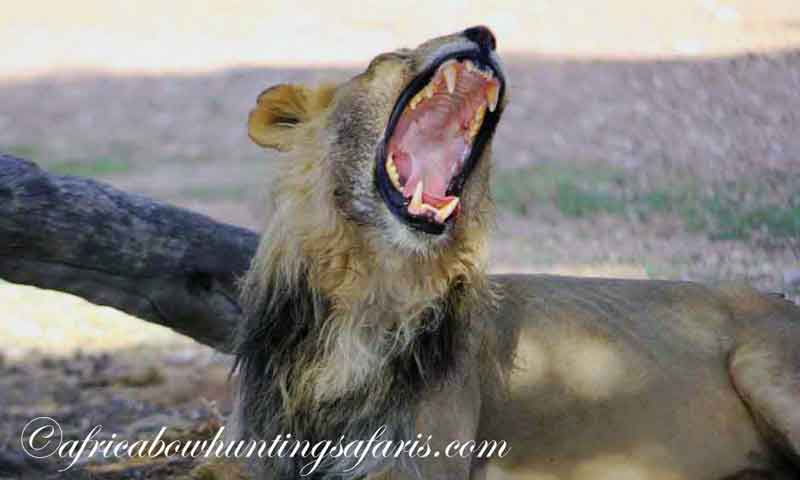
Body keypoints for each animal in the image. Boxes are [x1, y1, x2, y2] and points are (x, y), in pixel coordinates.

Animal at [221, 27, 800, 479]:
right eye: (385, 58)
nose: (482, 33)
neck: (374, 282)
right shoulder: (249, 445)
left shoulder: (420, 463)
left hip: (765, 366)